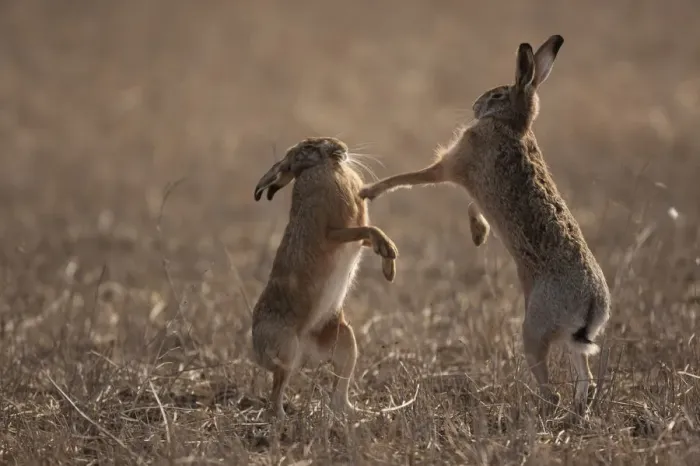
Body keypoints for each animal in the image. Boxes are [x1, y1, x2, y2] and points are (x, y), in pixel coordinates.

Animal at [251, 136, 398, 419]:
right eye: (308, 148)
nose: (342, 147)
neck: (325, 168)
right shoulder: (333, 231)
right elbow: (367, 229)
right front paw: (389, 252)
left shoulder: (355, 234)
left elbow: (369, 234)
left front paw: (389, 264)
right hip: (286, 350)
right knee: (277, 392)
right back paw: (284, 419)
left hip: (344, 341)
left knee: (338, 395)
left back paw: (361, 414)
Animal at [360, 35, 610, 416]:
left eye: (497, 95)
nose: (476, 105)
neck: (512, 124)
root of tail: (593, 304)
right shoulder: (474, 183)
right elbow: (473, 205)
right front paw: (479, 235)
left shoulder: (452, 165)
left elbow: (411, 178)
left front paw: (367, 191)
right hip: (570, 340)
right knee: (587, 380)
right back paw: (578, 411)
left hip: (534, 328)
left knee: (549, 387)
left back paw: (542, 411)